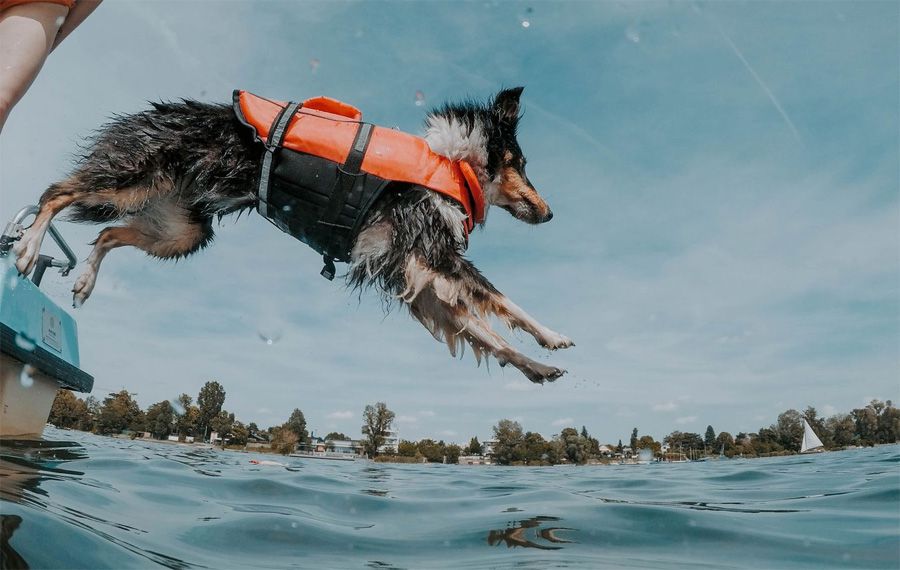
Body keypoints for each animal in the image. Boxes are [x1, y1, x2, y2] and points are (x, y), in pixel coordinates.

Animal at [12, 85, 576, 382]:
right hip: (132, 182)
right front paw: (552, 337)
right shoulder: (434, 257)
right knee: (54, 193)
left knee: (107, 234)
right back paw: (27, 248)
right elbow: (500, 302)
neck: (450, 163)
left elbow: (484, 330)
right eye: (521, 164)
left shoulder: (415, 278)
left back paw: (84, 282)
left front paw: (534, 366)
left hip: (182, 233)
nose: (550, 214)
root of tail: (160, 111)